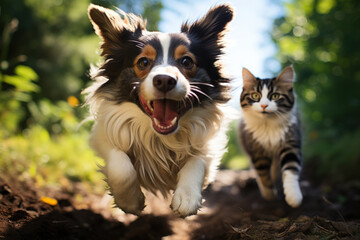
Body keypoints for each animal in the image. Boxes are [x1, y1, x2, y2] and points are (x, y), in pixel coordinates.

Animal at [84, 2, 233, 217]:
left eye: (186, 61)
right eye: (143, 62)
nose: (164, 80)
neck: (160, 137)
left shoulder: (209, 145)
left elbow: (198, 160)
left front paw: (187, 197)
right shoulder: (103, 136)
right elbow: (120, 166)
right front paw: (130, 201)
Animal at [240, 66, 302, 208]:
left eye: (275, 96)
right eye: (255, 96)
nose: (264, 105)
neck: (268, 126)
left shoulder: (290, 144)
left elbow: (290, 170)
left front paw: (293, 197)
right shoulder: (257, 151)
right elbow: (263, 175)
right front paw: (270, 195)